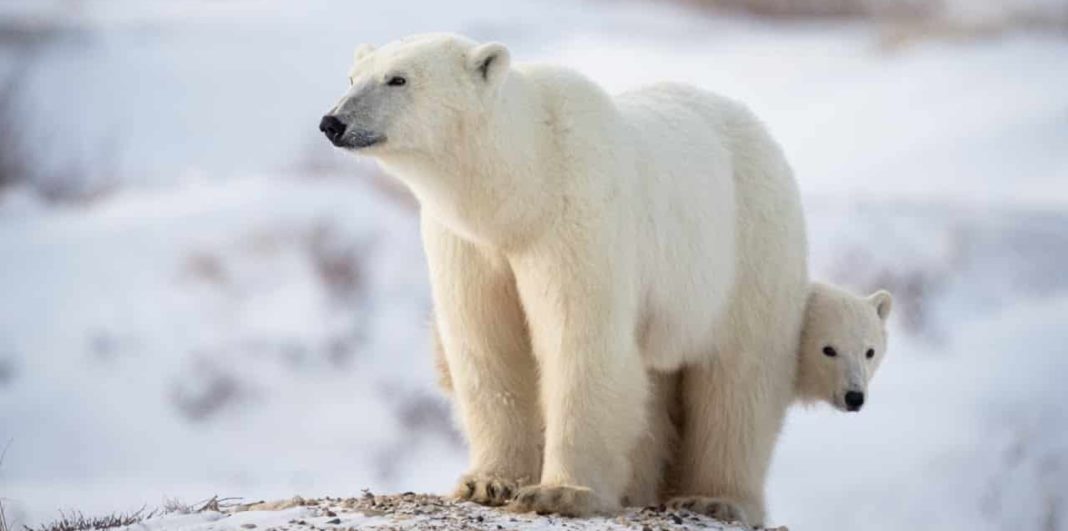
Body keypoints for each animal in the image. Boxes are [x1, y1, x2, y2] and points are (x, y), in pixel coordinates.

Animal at [320, 34, 803, 525]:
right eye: (352, 78)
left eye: (397, 78)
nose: (332, 122)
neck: (526, 183)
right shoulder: (468, 245)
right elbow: (490, 345)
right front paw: (488, 482)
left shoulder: (577, 216)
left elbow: (580, 340)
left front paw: (559, 492)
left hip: (749, 250)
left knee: (739, 382)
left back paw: (713, 497)